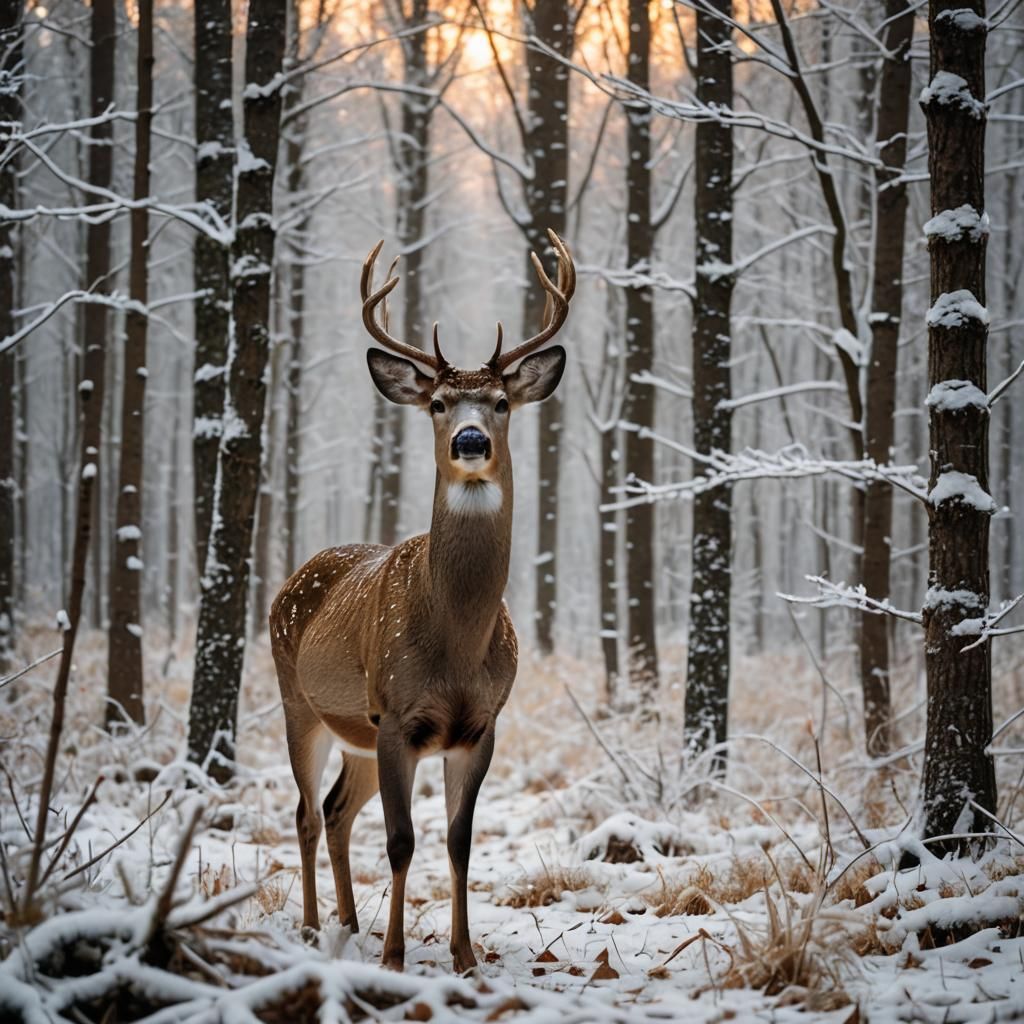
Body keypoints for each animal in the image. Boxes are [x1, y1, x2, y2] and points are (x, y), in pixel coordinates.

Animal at [269, 230, 575, 973]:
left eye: (500, 401)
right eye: (438, 404)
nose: (471, 440)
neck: (455, 643)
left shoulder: (483, 725)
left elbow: (460, 841)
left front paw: (465, 956)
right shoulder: (396, 716)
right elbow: (402, 840)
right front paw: (394, 957)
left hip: (353, 731)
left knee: (336, 810)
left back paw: (348, 922)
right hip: (300, 702)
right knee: (306, 812)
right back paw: (315, 928)